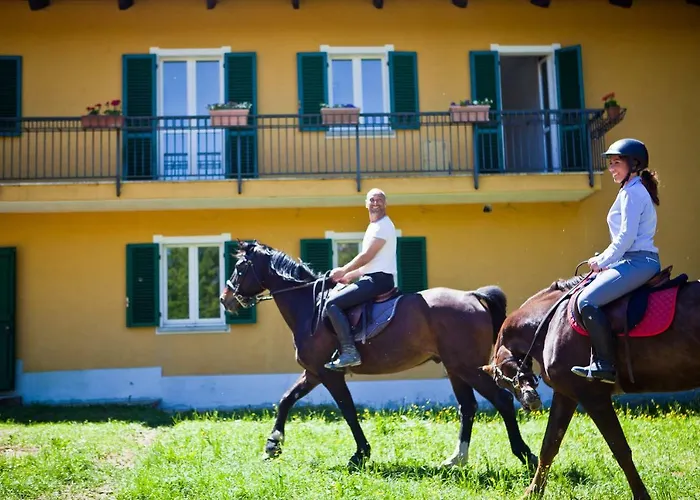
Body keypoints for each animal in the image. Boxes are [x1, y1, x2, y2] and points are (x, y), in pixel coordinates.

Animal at [219, 239, 538, 470]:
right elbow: (286, 399)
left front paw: (360, 454)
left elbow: (347, 410)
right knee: (468, 407)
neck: (312, 306)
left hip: (468, 367)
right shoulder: (314, 371)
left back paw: (525, 454)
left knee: (501, 400)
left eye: (239, 267)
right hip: (455, 368)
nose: (225, 299)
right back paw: (456, 459)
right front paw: (273, 444)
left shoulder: (328, 374)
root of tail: (472, 296)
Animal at [480, 261, 700, 500]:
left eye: (502, 381)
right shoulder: (566, 395)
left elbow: (619, 448)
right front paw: (532, 492)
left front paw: (641, 495)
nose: (530, 403)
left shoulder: (593, 397)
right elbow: (549, 445)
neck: (551, 323)